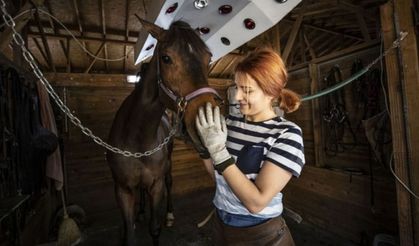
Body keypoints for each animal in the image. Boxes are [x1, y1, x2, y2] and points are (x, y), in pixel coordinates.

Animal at [106, 17, 221, 246]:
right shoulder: (122, 189)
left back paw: (168, 215)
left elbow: (154, 227)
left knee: (169, 181)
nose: (208, 122)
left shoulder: (156, 185)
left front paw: (159, 220)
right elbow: (130, 234)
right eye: (166, 58)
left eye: (209, 58)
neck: (136, 137)